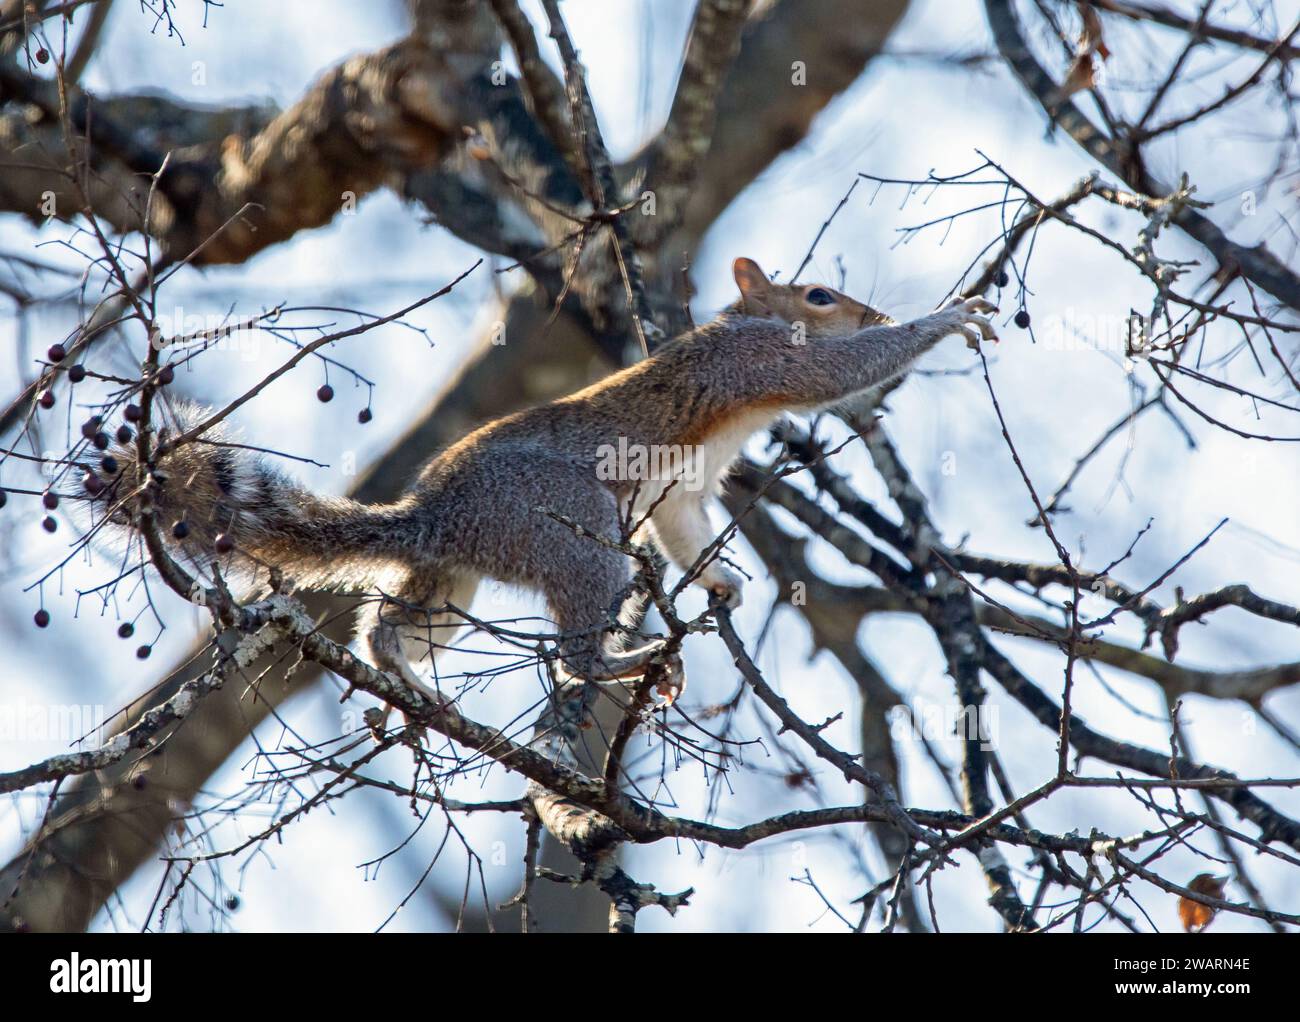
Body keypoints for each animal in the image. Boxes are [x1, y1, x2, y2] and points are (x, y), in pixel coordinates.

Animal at [107, 258, 996, 703]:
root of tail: (432, 512)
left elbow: (688, 536)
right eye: (818, 295)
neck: (743, 324)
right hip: (569, 530)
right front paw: (944, 319)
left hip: (452, 583)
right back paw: (625, 663)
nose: (876, 314)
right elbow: (842, 374)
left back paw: (409, 682)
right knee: (572, 657)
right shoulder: (758, 364)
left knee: (392, 629)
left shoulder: (681, 496)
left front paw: (726, 585)